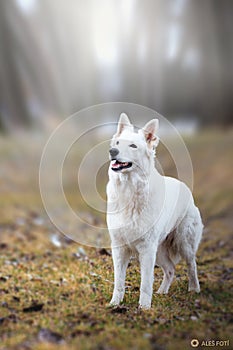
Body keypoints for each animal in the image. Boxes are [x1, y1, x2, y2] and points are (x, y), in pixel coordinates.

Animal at [106, 113, 203, 308]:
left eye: (133, 146)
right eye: (118, 143)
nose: (112, 151)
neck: (129, 191)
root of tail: (185, 187)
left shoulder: (146, 249)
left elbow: (145, 282)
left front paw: (144, 308)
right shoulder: (119, 248)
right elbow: (119, 281)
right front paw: (115, 304)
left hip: (183, 243)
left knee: (192, 265)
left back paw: (194, 289)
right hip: (160, 252)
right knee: (171, 269)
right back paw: (162, 292)